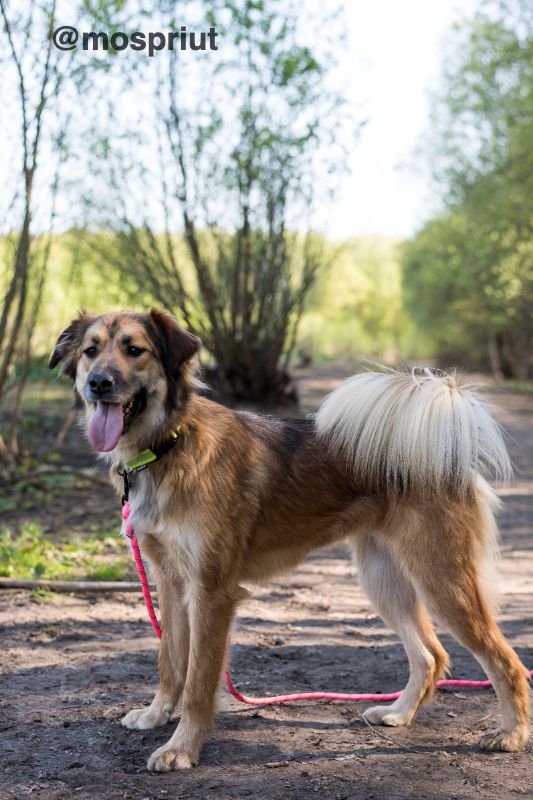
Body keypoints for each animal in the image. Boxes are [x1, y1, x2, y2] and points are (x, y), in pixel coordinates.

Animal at [48, 308, 528, 768]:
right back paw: (399, 713)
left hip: (442, 581)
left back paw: (511, 734)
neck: (171, 442)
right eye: (91, 351)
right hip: (382, 580)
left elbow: (199, 681)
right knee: (430, 656)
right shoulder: (169, 580)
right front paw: (155, 714)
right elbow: (169, 660)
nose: (98, 384)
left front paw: (181, 749)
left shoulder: (211, 592)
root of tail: (442, 450)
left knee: (506, 662)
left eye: (135, 350)